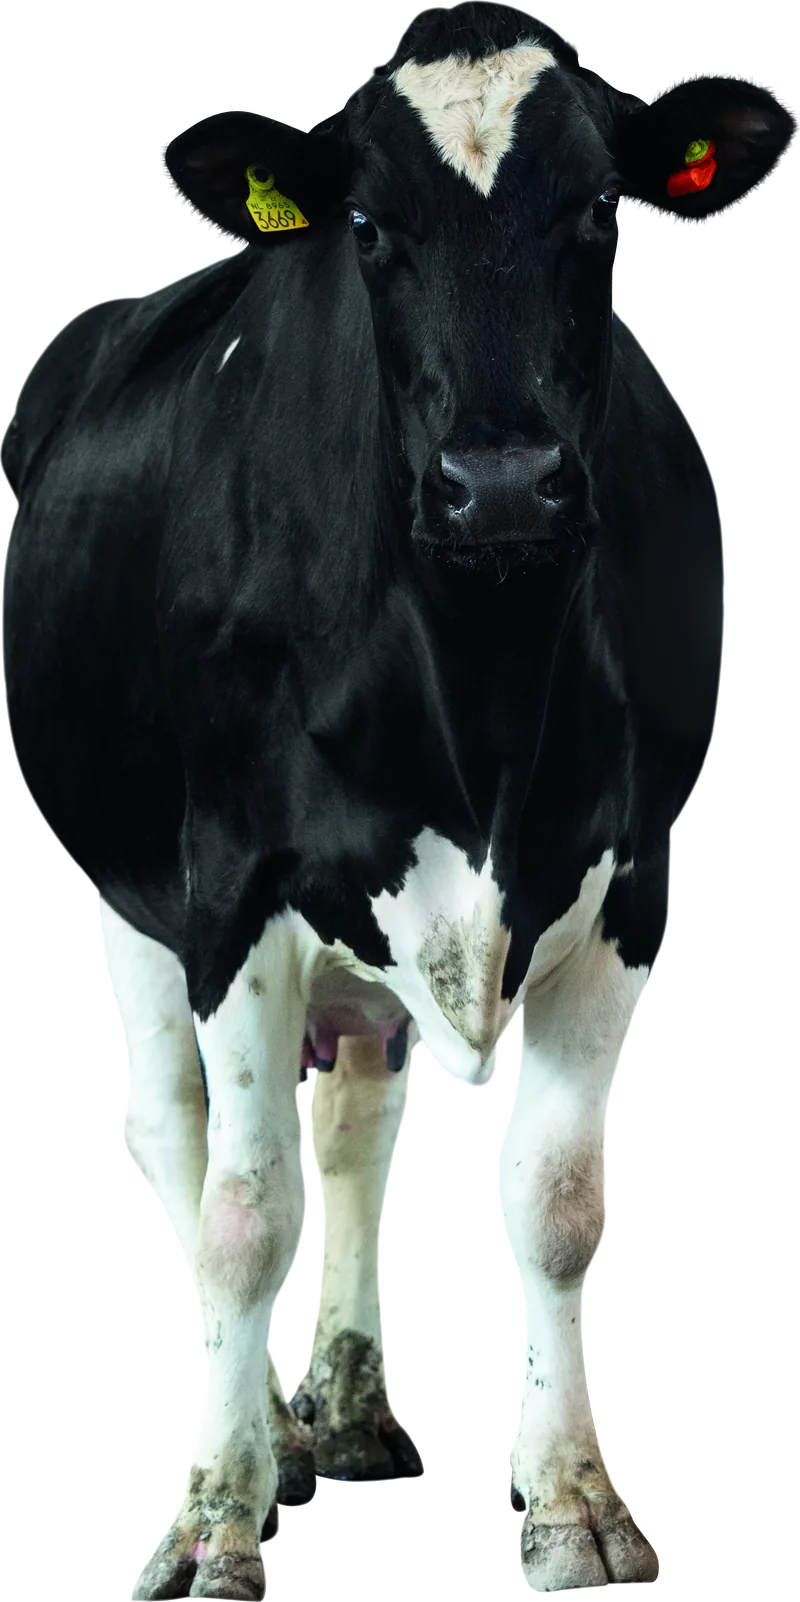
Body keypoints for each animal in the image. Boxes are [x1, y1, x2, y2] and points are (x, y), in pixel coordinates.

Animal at [1, 2, 793, 1596]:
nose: (501, 482)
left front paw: (571, 1504)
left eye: (601, 209)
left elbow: (554, 1207)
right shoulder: (234, 884)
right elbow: (246, 1215)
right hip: (128, 896)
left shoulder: (631, 883)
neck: (477, 684)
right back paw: (271, 1429)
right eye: (367, 226)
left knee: (361, 1114)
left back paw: (351, 1405)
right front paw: (217, 1513)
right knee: (173, 1136)